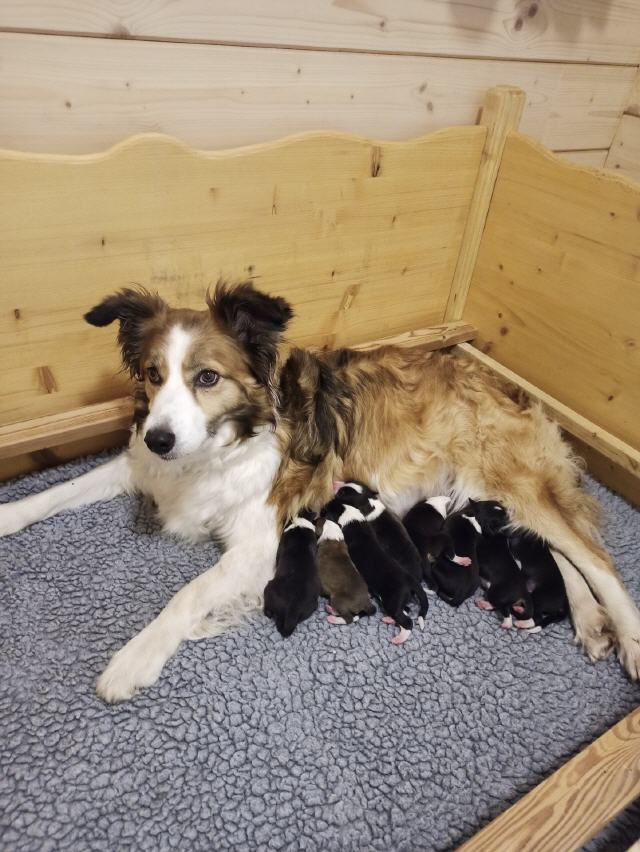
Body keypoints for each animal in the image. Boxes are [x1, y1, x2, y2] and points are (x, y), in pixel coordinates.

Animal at [0, 281, 638, 701]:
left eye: (207, 377)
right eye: (154, 376)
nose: (160, 438)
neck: (222, 442)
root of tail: (503, 382)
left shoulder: (259, 542)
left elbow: (187, 594)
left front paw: (134, 660)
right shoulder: (143, 467)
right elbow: (60, 490)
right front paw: (9, 512)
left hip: (509, 479)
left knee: (596, 559)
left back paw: (628, 635)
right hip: (501, 501)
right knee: (558, 554)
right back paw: (589, 622)